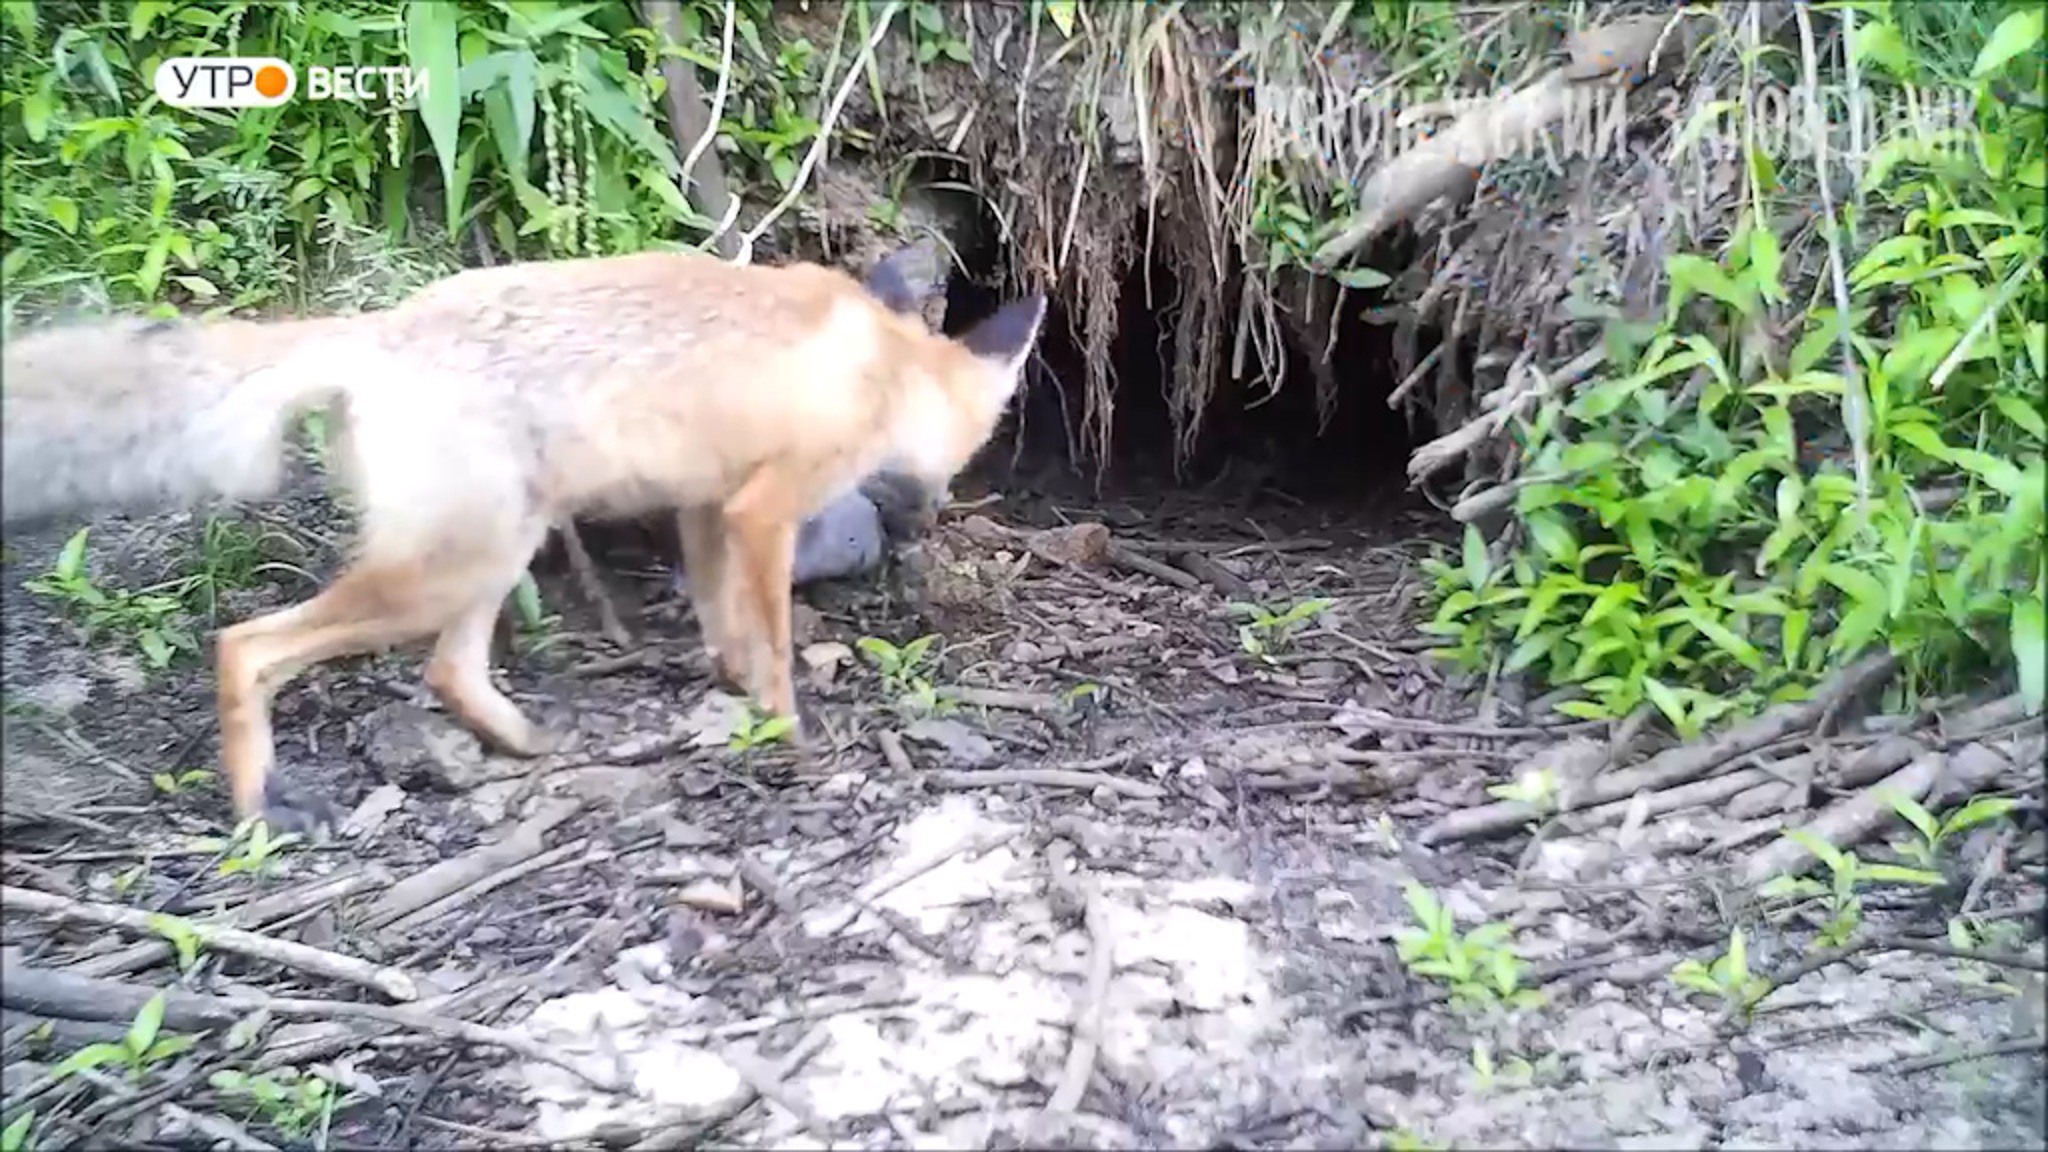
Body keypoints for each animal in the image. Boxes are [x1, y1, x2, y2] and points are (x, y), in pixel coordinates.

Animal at [1, 246, 1045, 831]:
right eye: (971, 448)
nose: (926, 514)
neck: (888, 365)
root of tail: (376, 326)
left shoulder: (708, 506)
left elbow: (724, 626)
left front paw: (734, 690)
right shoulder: (763, 508)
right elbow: (775, 647)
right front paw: (788, 733)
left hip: (495, 552)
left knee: (448, 670)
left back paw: (526, 744)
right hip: (446, 566)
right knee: (245, 646)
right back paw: (261, 804)